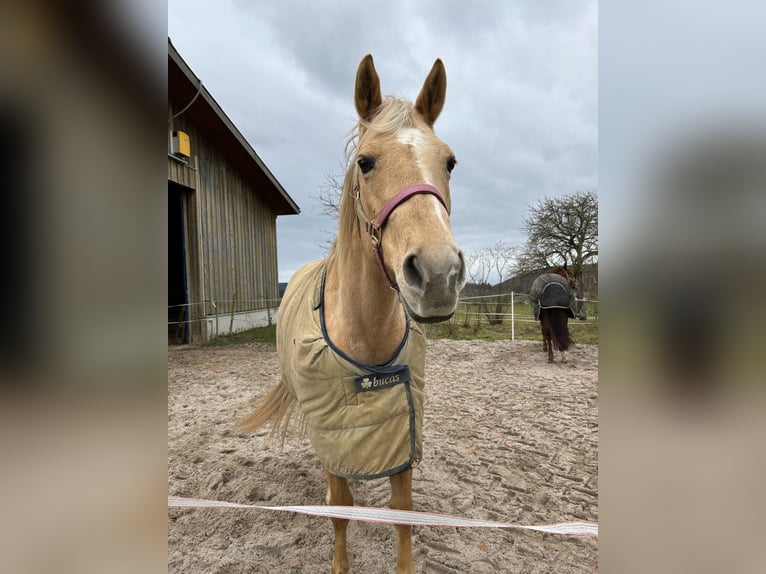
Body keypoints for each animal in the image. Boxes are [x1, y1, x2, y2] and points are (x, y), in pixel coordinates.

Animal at [240, 54, 465, 574]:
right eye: (365, 162)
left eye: (449, 161)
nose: (438, 274)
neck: (367, 336)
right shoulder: (335, 435)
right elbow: (339, 512)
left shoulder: (401, 432)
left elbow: (403, 516)